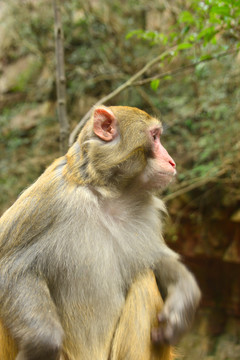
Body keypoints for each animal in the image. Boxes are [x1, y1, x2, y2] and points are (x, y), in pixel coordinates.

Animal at [0, 105, 201, 358]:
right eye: (155, 137)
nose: (172, 161)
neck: (108, 192)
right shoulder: (49, 197)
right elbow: (11, 267)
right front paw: (42, 342)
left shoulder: (146, 214)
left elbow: (159, 259)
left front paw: (183, 302)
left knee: (145, 279)